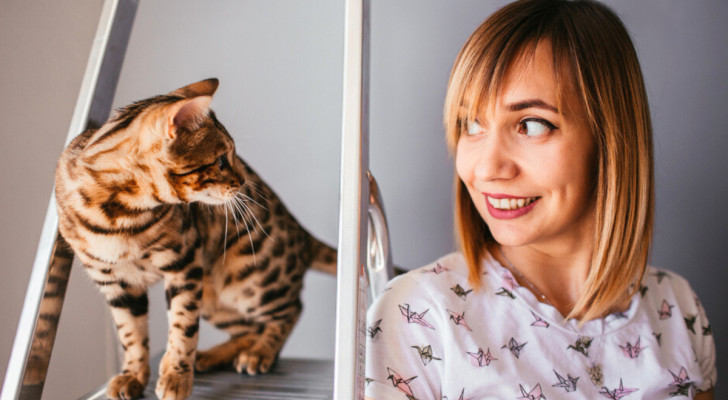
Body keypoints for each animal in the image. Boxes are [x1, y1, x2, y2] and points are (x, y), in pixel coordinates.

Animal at [54, 79, 338, 400]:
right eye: (221, 160)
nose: (243, 181)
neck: (119, 216)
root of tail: (300, 232)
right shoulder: (116, 283)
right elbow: (131, 334)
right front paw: (133, 375)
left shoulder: (185, 263)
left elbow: (183, 328)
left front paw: (176, 377)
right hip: (216, 296)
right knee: (248, 328)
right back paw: (214, 355)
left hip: (251, 278)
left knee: (290, 311)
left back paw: (260, 352)